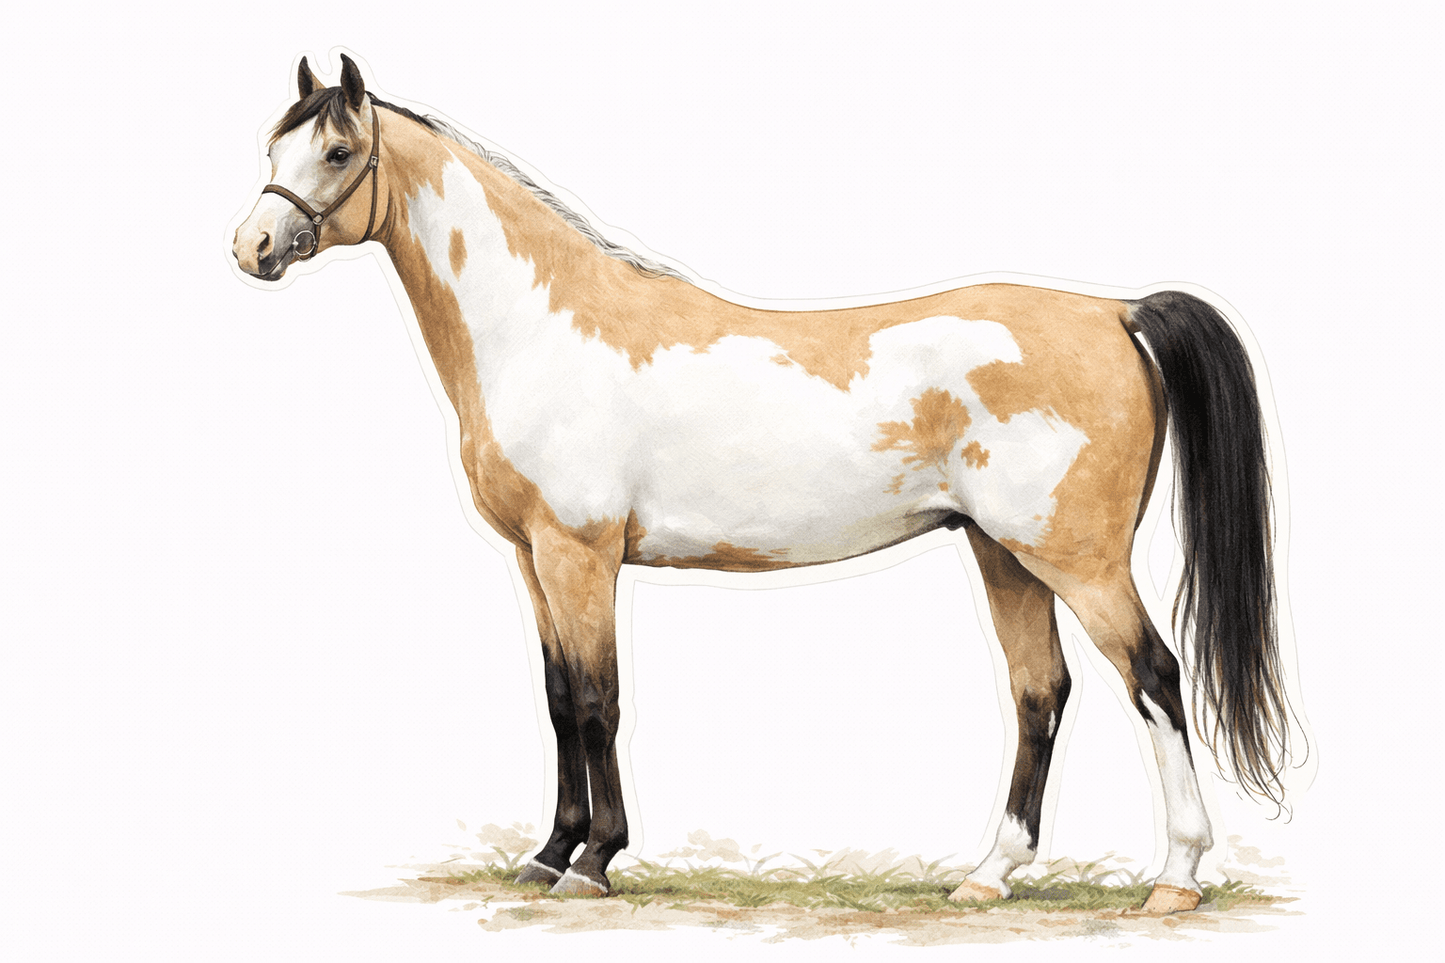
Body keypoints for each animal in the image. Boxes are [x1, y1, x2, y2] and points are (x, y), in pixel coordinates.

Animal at [231, 53, 1292, 913]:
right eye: (275, 144)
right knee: (1040, 692)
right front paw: (547, 853)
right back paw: (987, 875)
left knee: (1153, 675)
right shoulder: (533, 561)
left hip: (1075, 556)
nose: (252, 248)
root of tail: (1115, 312)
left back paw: (1174, 879)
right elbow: (556, 695)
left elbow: (598, 699)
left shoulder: (580, 554)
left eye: (336, 151)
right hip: (1005, 553)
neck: (541, 326)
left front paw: (594, 861)